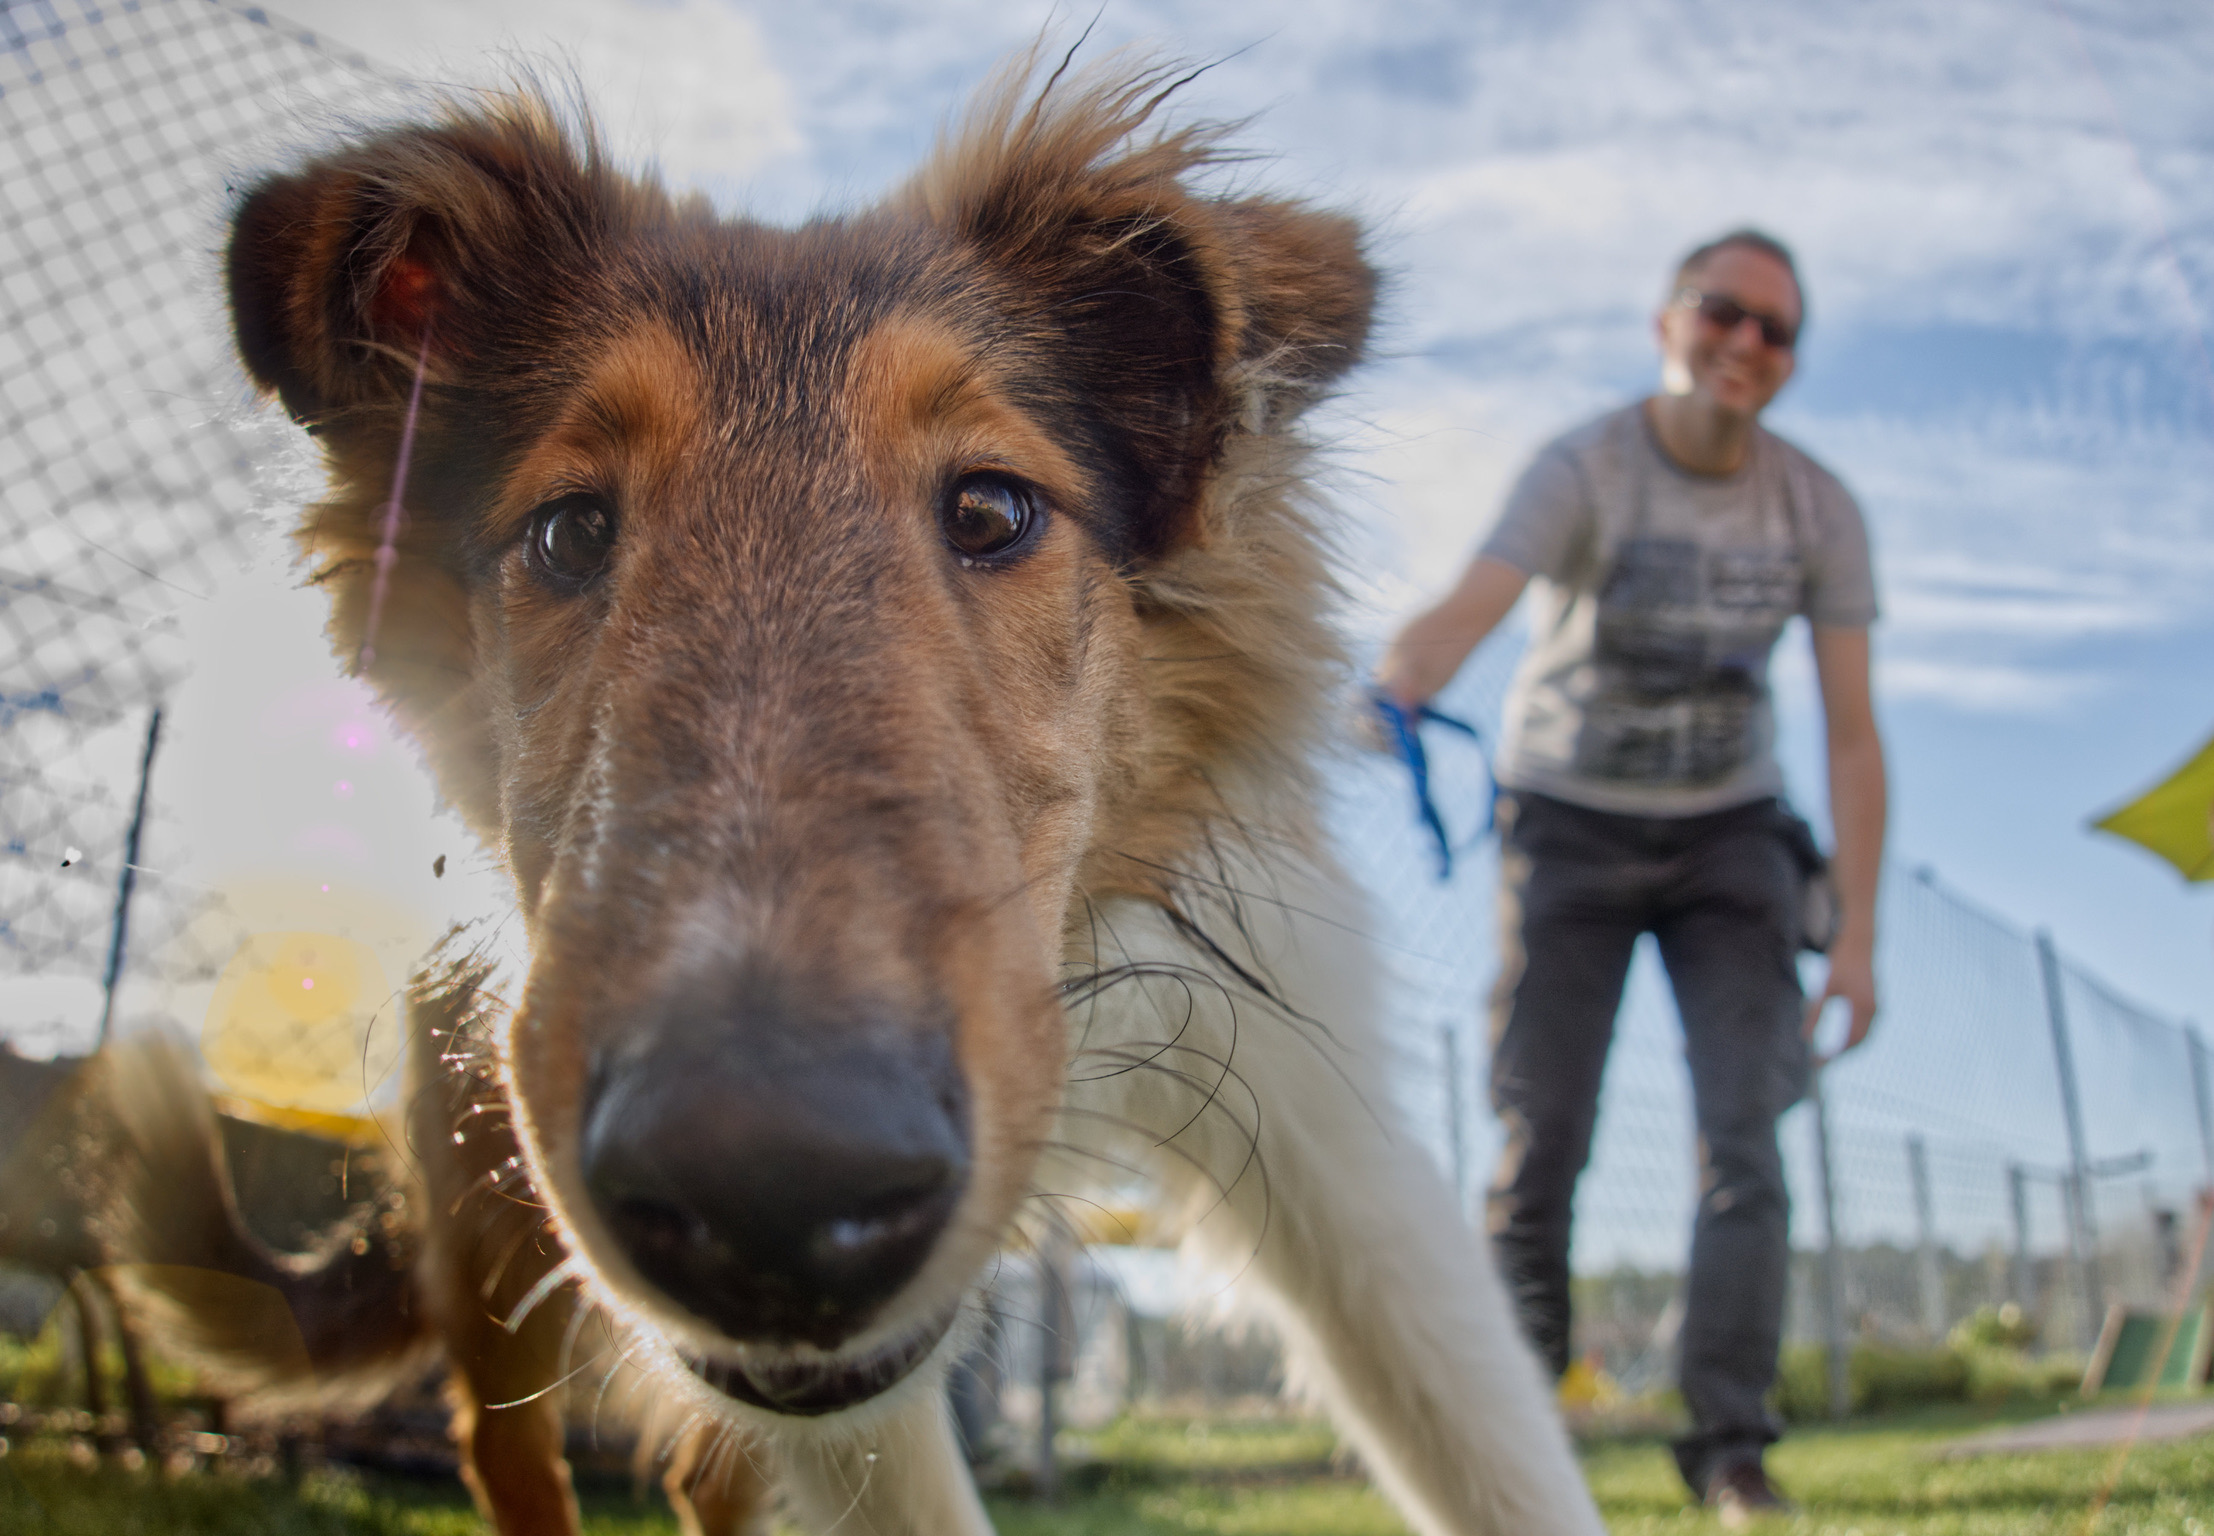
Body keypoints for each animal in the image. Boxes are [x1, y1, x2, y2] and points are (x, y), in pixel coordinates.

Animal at [104, 51, 1602, 1536]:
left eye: (991, 510)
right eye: (570, 531)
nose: (764, 1184)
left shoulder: (1320, 1131)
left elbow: (1497, 1455)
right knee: (507, 1445)